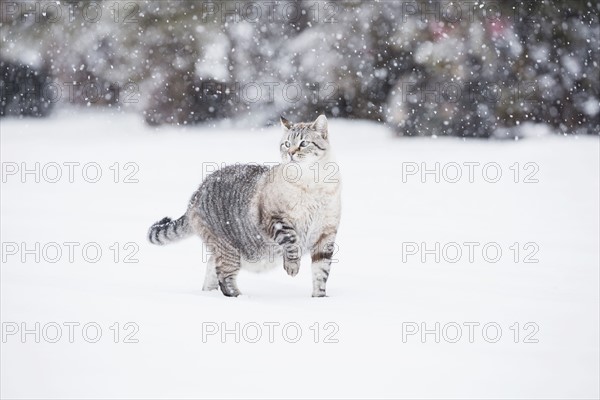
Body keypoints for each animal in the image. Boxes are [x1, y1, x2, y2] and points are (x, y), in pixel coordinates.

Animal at [148, 113, 342, 296]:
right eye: (287, 144)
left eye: (303, 143)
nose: (291, 153)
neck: (312, 184)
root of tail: (196, 195)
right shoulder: (276, 219)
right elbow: (291, 241)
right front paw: (292, 267)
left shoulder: (326, 235)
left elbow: (321, 274)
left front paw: (319, 299)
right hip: (229, 250)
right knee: (224, 279)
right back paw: (241, 298)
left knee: (211, 272)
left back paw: (209, 294)